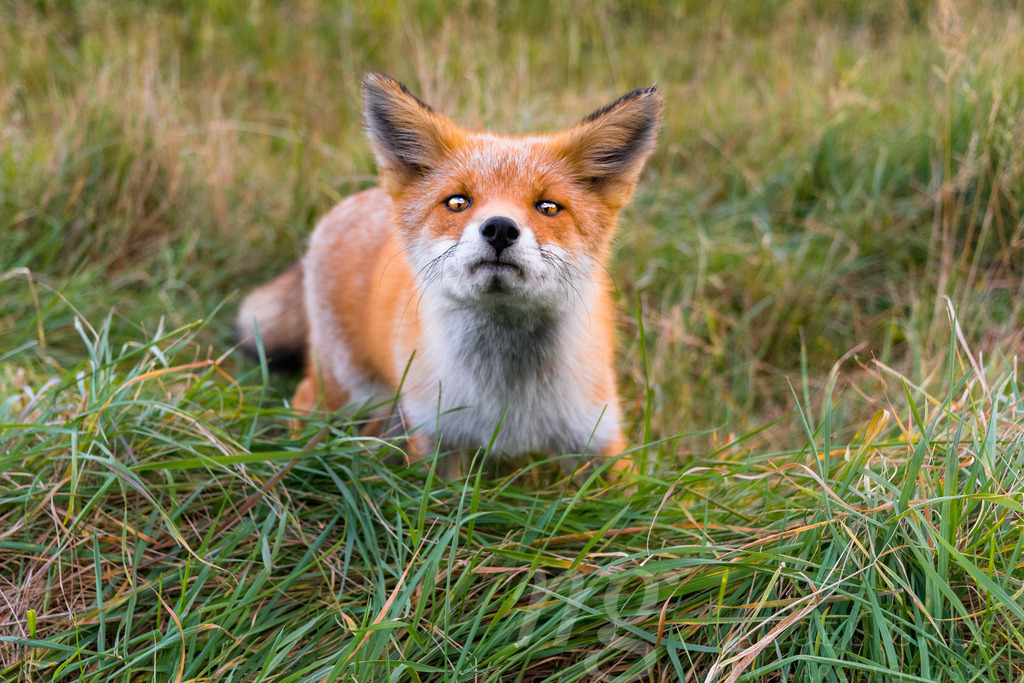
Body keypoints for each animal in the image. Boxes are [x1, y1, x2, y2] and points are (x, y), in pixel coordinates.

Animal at [237, 73, 662, 475]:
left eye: (548, 207)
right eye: (458, 202)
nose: (500, 228)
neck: (507, 400)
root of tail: (347, 204)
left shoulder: (599, 435)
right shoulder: (435, 436)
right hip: (346, 386)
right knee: (306, 399)